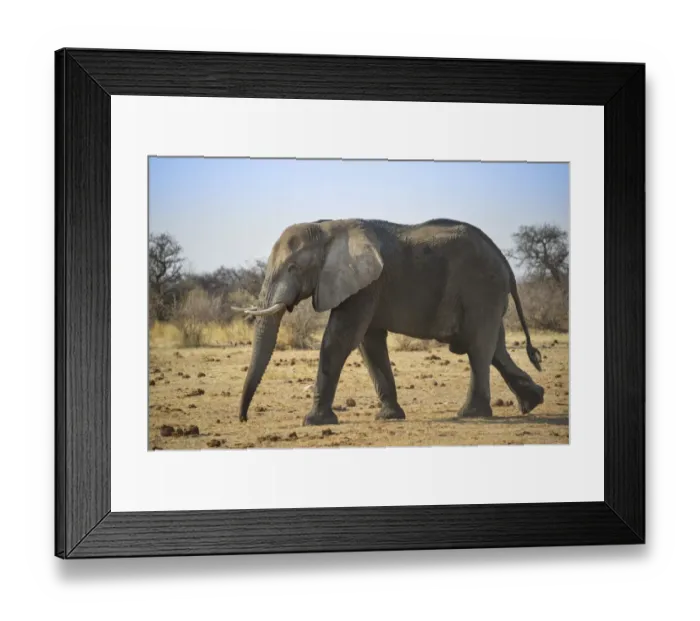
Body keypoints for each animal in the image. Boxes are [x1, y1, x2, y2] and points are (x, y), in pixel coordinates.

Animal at [234, 218, 544, 426]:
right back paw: (532, 402)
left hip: (482, 287)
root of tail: (505, 262)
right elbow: (369, 344)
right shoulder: (366, 285)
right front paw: (389, 417)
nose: (244, 418)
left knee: (479, 346)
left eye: (293, 268)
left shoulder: (366, 285)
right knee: (495, 348)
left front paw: (313, 421)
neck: (327, 227)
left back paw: (471, 414)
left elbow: (340, 339)